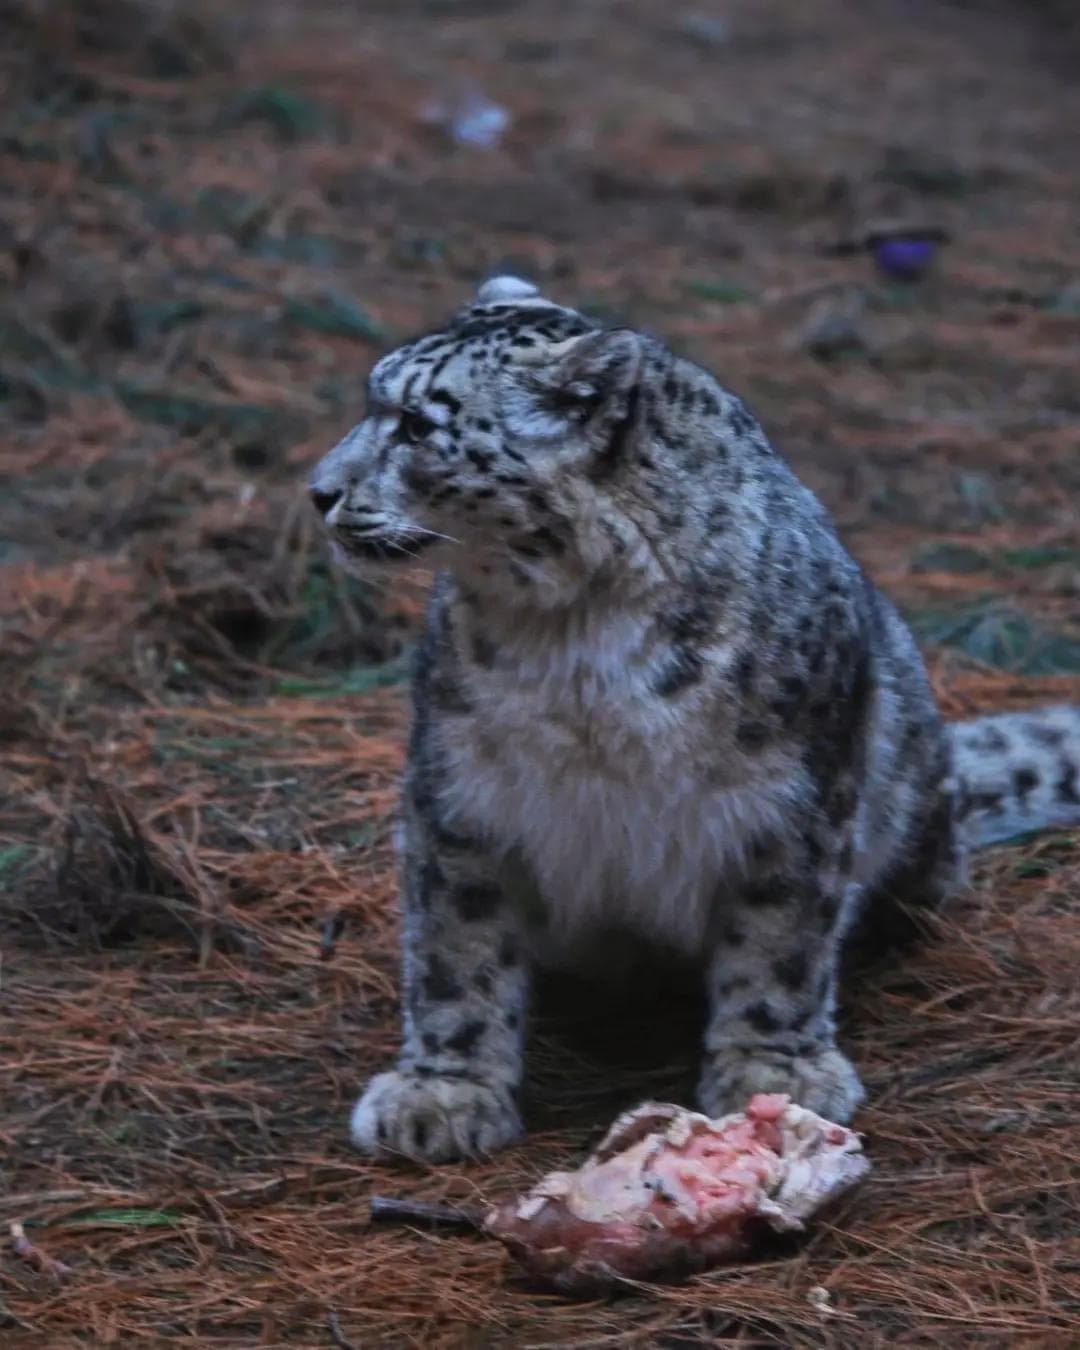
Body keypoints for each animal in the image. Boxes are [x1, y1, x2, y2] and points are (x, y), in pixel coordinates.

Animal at [308, 274, 1080, 1163]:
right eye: (376, 400)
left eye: (415, 424)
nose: (318, 491)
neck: (571, 639)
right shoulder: (461, 787)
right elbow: (454, 947)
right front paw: (443, 1092)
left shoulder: (795, 797)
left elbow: (781, 938)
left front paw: (774, 1072)